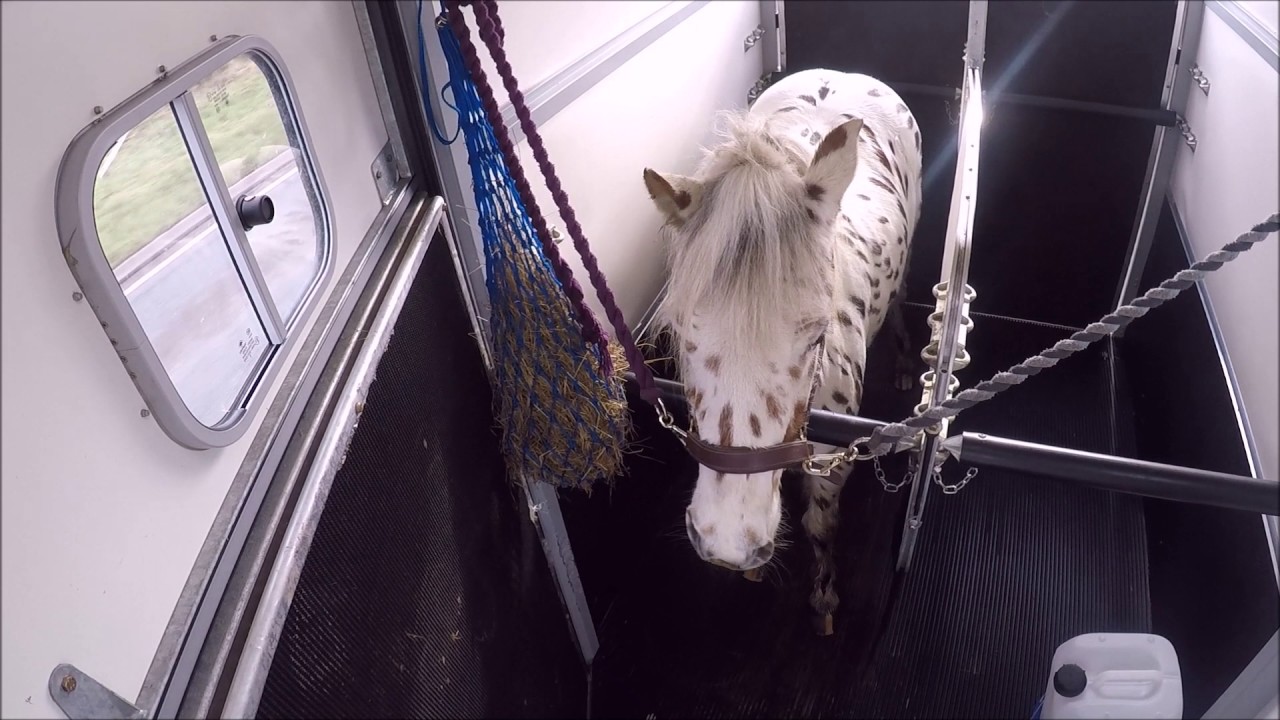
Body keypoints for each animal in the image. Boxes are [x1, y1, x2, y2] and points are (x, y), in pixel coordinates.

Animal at [641, 68, 923, 635]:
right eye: (680, 331)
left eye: (816, 335)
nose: (728, 541)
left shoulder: (834, 460)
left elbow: (821, 524)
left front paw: (823, 598)